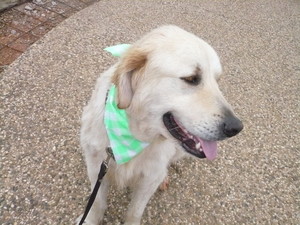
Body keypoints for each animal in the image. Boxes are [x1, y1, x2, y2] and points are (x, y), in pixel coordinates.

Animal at [78, 25, 243, 224]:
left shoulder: (149, 178)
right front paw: (90, 220)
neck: (133, 135)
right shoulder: (96, 165)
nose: (236, 127)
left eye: (217, 80)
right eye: (191, 78)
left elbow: (135, 211)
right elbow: (97, 203)